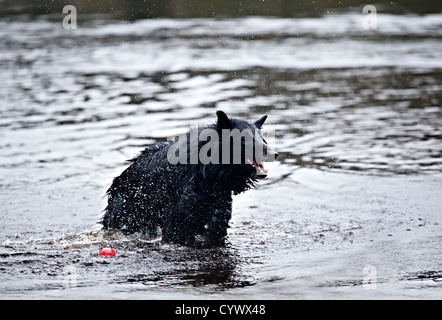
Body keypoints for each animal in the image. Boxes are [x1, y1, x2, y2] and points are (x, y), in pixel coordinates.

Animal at [102, 110, 278, 245]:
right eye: (244, 139)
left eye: (262, 139)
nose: (274, 153)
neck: (209, 175)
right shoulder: (176, 222)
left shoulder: (217, 220)